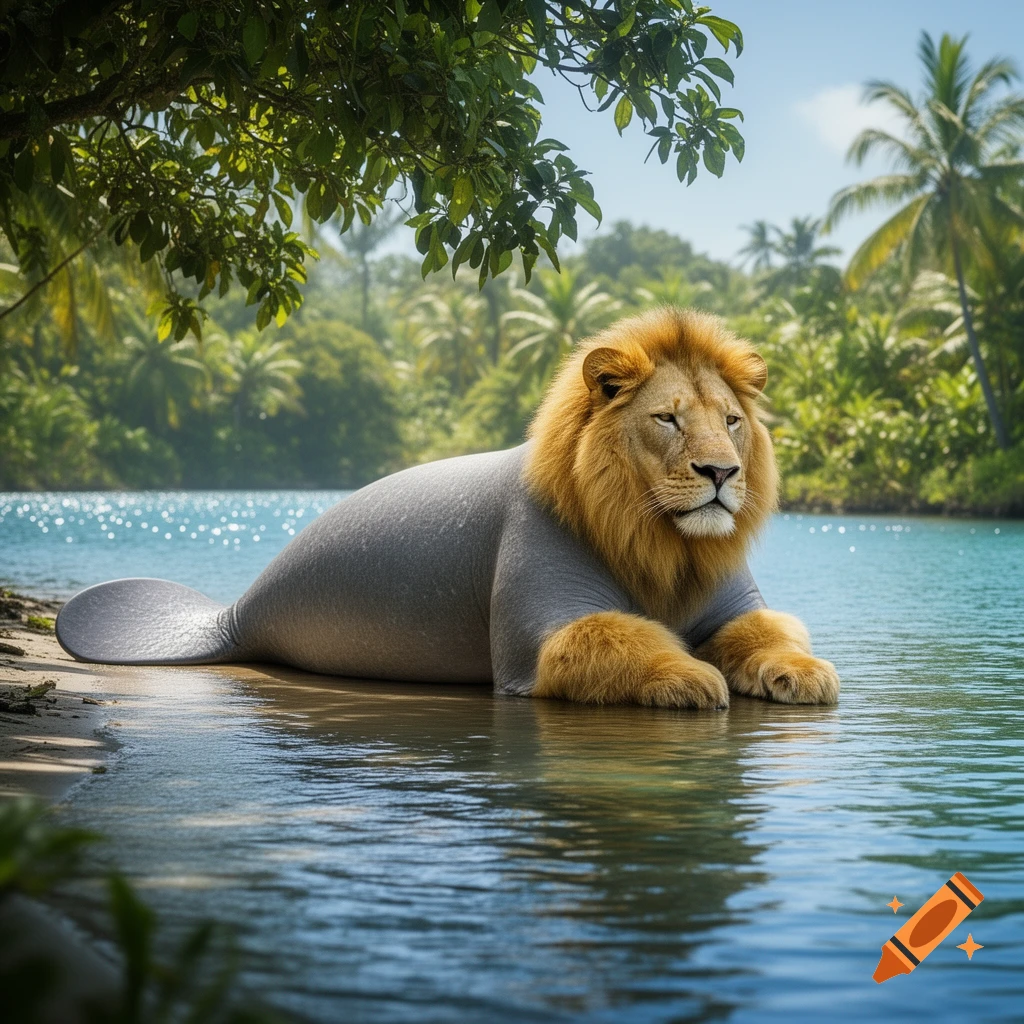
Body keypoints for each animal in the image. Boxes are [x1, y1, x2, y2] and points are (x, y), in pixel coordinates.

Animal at [56, 306, 838, 710]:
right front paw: (692, 676)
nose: (722, 472)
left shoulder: (732, 606)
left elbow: (771, 630)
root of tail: (225, 617)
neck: (663, 543)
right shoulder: (537, 636)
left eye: (730, 421)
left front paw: (805, 673)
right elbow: (614, 640)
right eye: (669, 420)